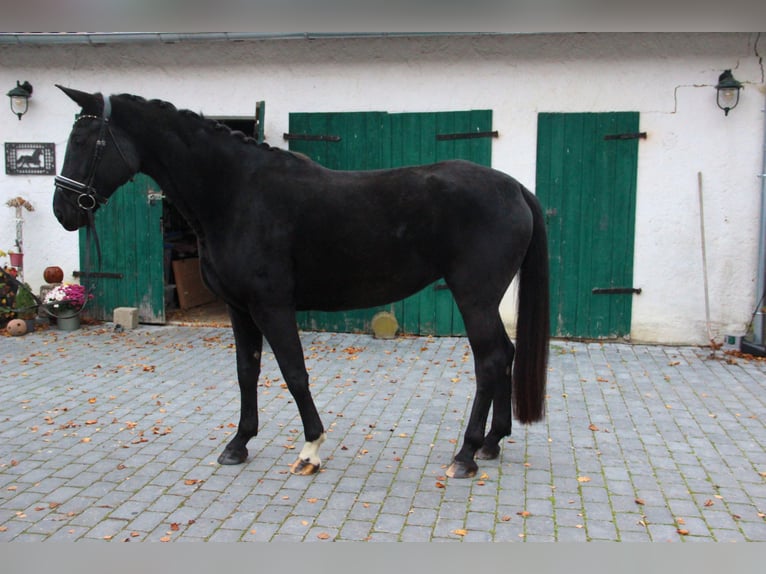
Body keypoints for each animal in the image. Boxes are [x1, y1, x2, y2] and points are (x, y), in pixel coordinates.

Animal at [51, 86, 548, 482]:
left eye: (87, 142)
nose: (64, 210)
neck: (235, 194)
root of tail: (514, 188)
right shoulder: (239, 308)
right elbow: (247, 371)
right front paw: (238, 444)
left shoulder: (271, 305)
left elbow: (293, 372)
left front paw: (311, 449)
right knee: (505, 354)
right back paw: (492, 442)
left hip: (473, 295)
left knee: (489, 360)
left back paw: (466, 453)